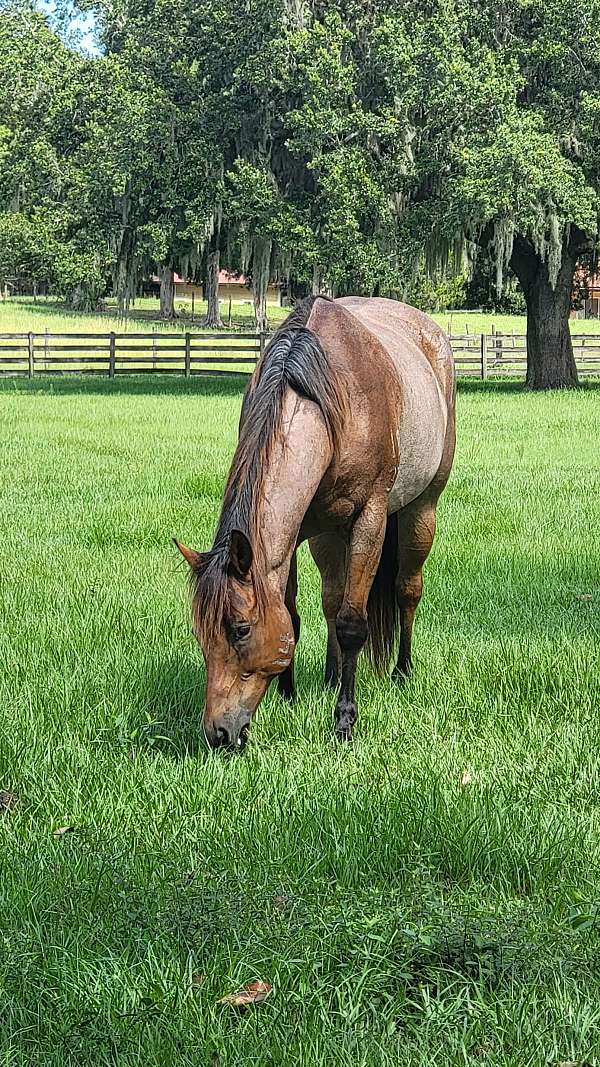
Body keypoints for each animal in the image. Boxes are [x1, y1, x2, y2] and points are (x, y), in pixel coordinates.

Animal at [175, 294, 454, 751]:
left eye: (240, 630)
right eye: (201, 635)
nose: (219, 733)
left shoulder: (369, 520)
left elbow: (353, 623)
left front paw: (344, 721)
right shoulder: (293, 533)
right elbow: (293, 613)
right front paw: (287, 695)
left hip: (420, 510)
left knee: (406, 591)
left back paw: (402, 672)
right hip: (328, 533)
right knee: (332, 597)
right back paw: (330, 675)